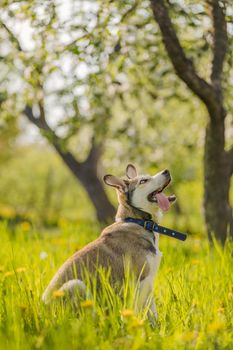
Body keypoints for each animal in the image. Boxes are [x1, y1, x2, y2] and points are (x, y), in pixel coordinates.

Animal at [41, 164, 177, 320]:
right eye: (143, 181)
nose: (167, 171)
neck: (139, 222)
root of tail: (42, 309)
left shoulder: (147, 282)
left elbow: (151, 310)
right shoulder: (141, 281)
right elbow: (144, 311)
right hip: (76, 285)